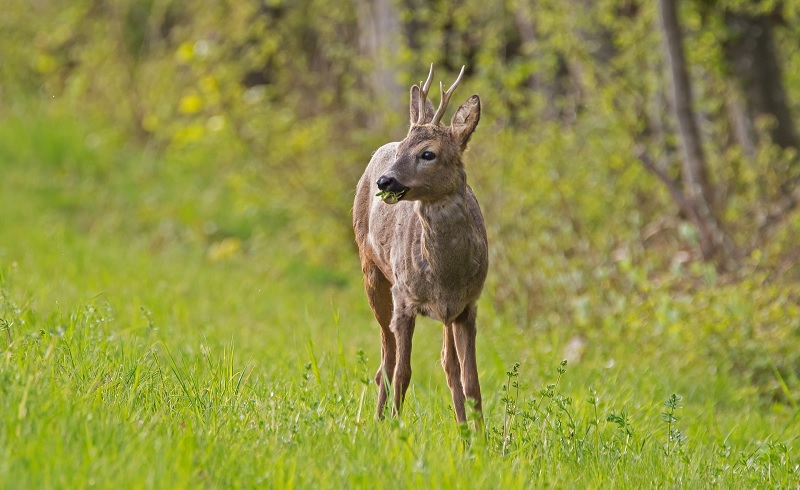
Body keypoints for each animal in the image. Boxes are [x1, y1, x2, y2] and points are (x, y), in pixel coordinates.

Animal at [352, 66, 488, 428]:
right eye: (403, 149)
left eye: (428, 153)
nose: (385, 181)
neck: (446, 275)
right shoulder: (404, 298)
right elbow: (403, 372)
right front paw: (395, 428)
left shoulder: (467, 306)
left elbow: (470, 381)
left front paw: (480, 436)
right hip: (372, 271)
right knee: (385, 362)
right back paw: (376, 420)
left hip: (446, 314)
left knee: (447, 364)